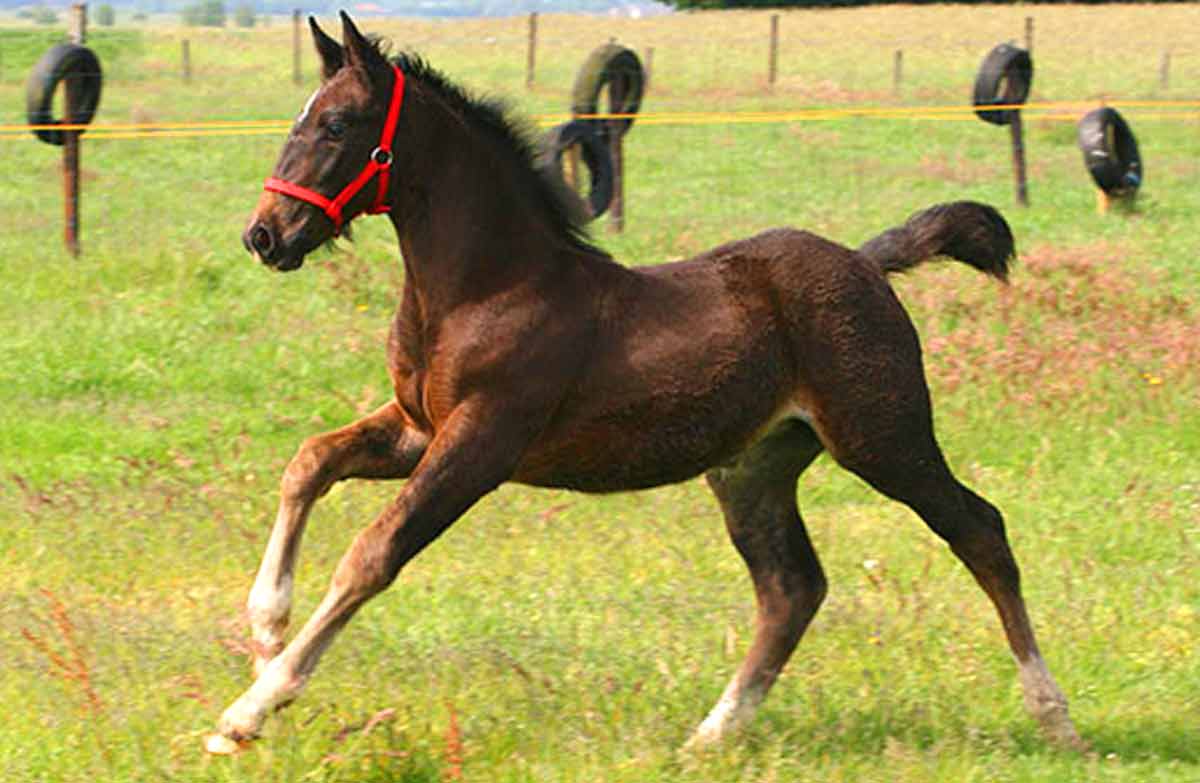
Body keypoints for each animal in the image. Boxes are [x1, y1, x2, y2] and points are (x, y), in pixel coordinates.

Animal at [206, 12, 1084, 755]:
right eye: (299, 119)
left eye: (337, 125)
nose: (264, 235)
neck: (485, 287)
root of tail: (869, 262)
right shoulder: (420, 426)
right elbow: (310, 460)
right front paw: (264, 630)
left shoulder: (483, 441)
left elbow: (373, 551)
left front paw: (251, 708)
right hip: (753, 468)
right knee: (792, 587)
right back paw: (713, 734)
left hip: (884, 437)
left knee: (980, 530)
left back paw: (1056, 716)